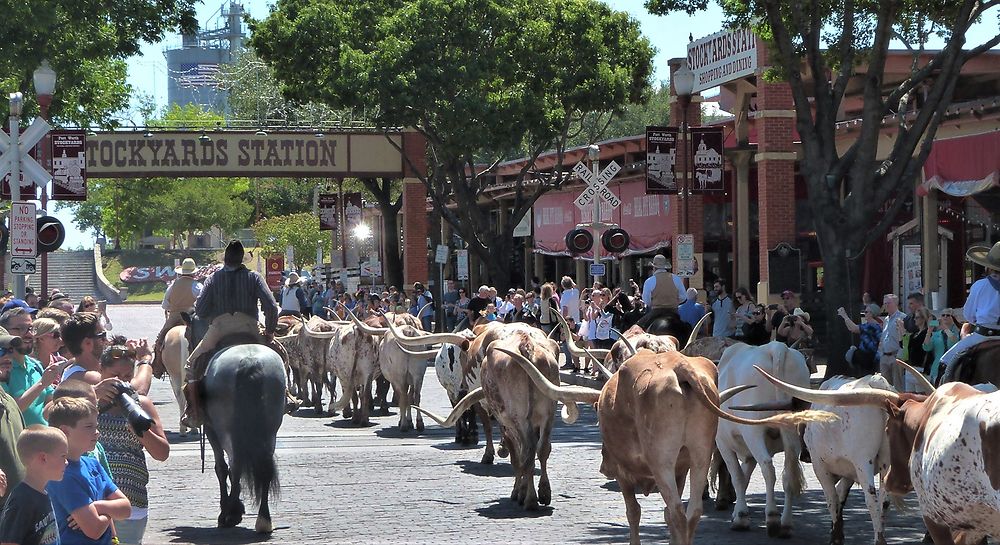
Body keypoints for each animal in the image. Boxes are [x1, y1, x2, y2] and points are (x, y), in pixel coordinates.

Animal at [184, 314, 288, 532]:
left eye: (188, 334)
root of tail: (250, 361)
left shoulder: (211, 430)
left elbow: (222, 468)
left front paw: (230, 510)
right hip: (269, 429)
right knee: (264, 466)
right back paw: (264, 519)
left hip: (226, 430)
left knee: (235, 464)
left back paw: (229, 514)